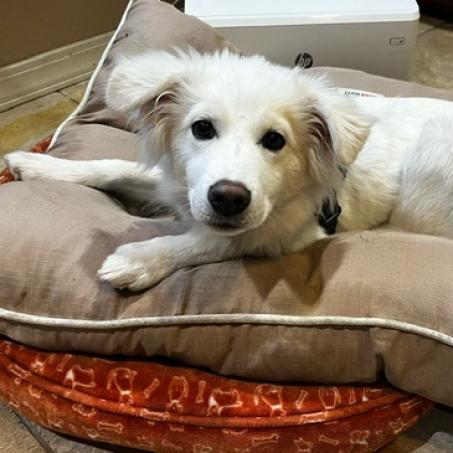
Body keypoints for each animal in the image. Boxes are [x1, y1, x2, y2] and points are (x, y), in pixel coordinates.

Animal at [5, 49, 452, 290]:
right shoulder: (182, 186)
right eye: (202, 128)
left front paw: (139, 260)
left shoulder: (289, 233)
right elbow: (113, 167)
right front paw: (39, 164)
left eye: (275, 140)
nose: (228, 199)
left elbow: (210, 242)